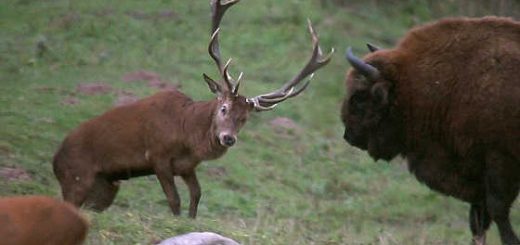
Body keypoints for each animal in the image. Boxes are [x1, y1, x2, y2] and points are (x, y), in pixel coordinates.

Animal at [53, 0, 334, 218]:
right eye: (223, 108)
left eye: (245, 118)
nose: (228, 138)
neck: (186, 134)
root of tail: (55, 160)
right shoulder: (157, 156)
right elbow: (174, 201)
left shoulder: (188, 166)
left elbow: (196, 197)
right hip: (77, 178)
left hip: (106, 188)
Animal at [342, 16, 520, 244]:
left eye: (359, 97)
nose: (349, 135)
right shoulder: (479, 170)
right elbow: (478, 220)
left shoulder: (500, 160)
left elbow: (497, 210)